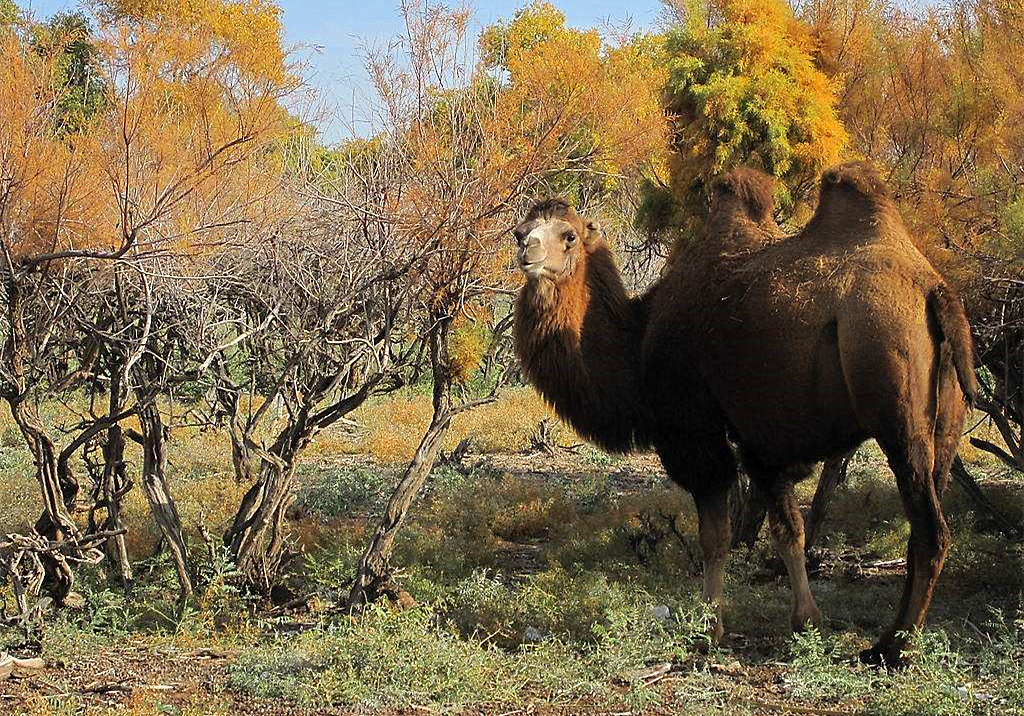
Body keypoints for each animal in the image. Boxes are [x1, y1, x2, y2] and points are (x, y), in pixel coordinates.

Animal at [512, 162, 974, 667]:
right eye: (522, 229)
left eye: (569, 235)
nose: (526, 249)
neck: (639, 341)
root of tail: (935, 292)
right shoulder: (761, 440)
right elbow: (789, 530)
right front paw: (806, 622)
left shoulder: (696, 433)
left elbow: (715, 536)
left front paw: (708, 629)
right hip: (945, 426)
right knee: (925, 515)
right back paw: (889, 637)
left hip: (895, 401)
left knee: (931, 530)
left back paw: (894, 648)